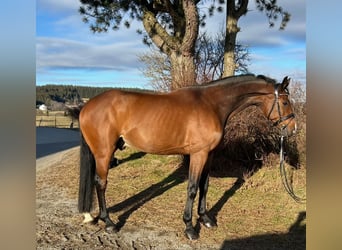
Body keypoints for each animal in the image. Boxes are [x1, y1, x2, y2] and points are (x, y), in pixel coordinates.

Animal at [76, 74, 296, 240]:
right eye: (285, 102)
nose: (292, 129)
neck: (212, 104)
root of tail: (86, 107)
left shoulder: (209, 154)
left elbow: (204, 186)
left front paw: (205, 219)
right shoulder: (198, 154)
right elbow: (192, 188)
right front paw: (190, 227)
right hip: (104, 153)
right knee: (101, 183)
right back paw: (109, 223)